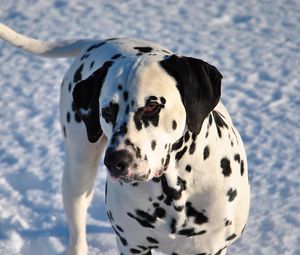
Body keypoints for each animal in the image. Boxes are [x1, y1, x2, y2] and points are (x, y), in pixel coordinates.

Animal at [1, 23, 250, 255]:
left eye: (151, 106)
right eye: (106, 111)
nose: (115, 161)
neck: (174, 192)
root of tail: (97, 42)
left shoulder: (210, 247)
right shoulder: (132, 245)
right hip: (78, 170)